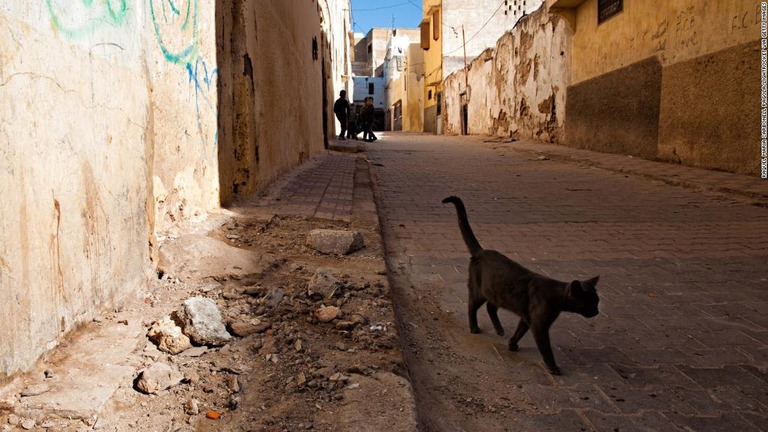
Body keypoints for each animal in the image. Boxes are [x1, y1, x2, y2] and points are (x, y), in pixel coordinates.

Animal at [440, 197, 596, 374]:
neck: (556, 295)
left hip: (496, 292)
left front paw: (512, 344)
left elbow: (519, 331)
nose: (597, 311)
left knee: (490, 307)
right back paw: (474, 328)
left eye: (597, 301)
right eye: (592, 302)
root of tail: (481, 251)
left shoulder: (526, 317)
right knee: (472, 307)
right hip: (479, 291)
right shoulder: (539, 325)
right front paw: (553, 367)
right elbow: (546, 348)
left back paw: (499, 330)